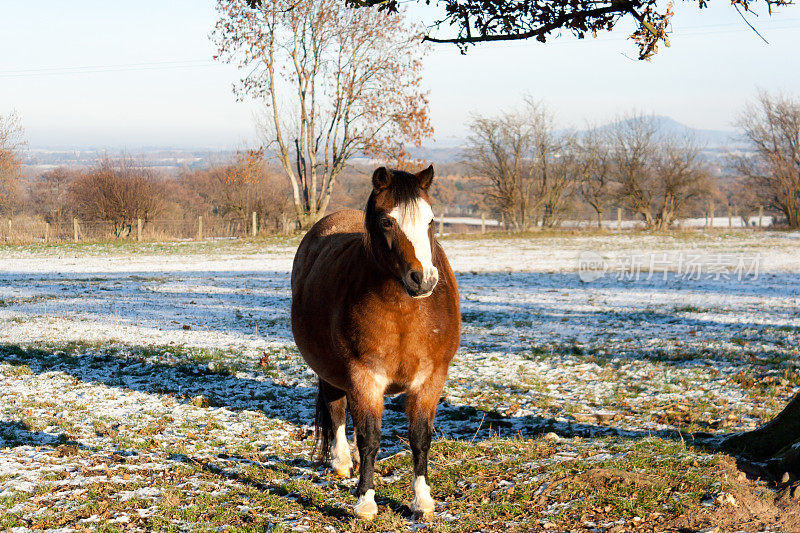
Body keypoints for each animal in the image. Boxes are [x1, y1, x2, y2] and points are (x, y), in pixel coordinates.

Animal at [290, 164, 460, 516]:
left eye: (430, 220)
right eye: (386, 222)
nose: (423, 280)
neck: (404, 312)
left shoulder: (431, 380)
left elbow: (420, 437)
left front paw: (422, 499)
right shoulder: (363, 378)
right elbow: (369, 438)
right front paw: (365, 502)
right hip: (330, 371)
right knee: (337, 411)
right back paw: (342, 462)